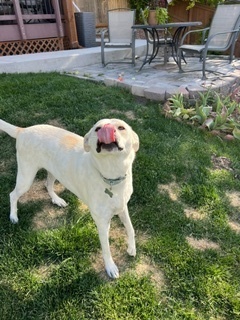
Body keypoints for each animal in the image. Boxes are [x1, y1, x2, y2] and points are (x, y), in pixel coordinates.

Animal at [0, 117, 139, 278]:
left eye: (121, 127)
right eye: (97, 128)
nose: (107, 128)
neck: (112, 177)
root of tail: (23, 130)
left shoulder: (122, 207)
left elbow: (130, 228)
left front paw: (132, 248)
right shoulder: (102, 222)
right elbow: (106, 248)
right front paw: (110, 267)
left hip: (54, 171)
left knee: (47, 185)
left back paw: (57, 200)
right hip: (26, 177)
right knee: (12, 194)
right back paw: (13, 216)